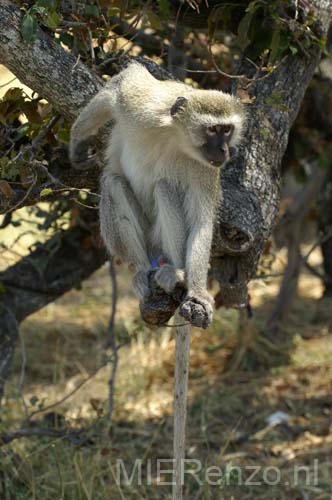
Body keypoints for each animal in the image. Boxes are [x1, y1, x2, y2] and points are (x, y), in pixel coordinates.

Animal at [70, 62, 245, 328]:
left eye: (227, 130)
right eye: (213, 129)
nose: (224, 150)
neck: (175, 138)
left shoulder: (206, 168)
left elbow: (201, 223)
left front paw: (197, 292)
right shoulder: (145, 107)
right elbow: (122, 83)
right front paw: (77, 140)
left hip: (159, 237)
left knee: (164, 187)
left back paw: (178, 274)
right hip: (144, 239)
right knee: (113, 182)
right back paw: (142, 270)